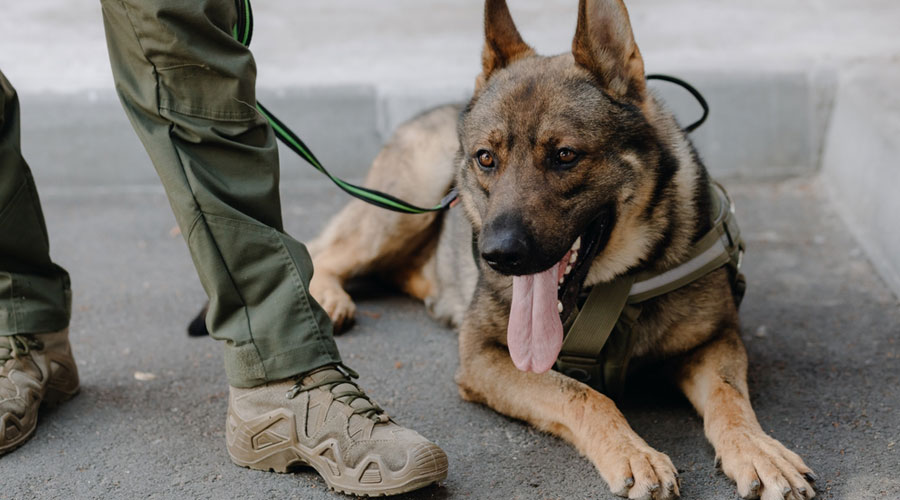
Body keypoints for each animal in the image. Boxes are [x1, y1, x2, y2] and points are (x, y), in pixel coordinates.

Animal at [306, 0, 820, 500]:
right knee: (324, 248)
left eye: (565, 156)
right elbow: (583, 394)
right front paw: (632, 452)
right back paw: (327, 296)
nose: (497, 256)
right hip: (402, 211)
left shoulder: (715, 342)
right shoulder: (485, 356)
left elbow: (730, 398)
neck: (617, 287)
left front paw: (756, 449)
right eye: (486, 158)